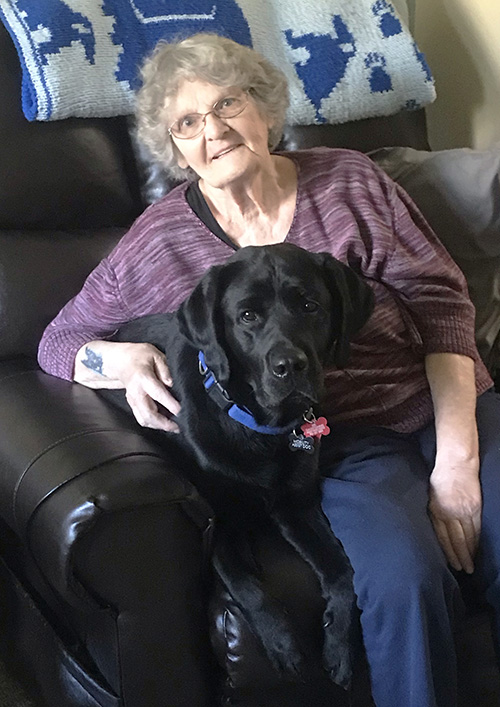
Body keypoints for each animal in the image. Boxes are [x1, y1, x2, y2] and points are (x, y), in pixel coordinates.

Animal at [103, 242, 374, 684]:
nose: (289, 366)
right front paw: (283, 645)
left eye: (310, 305)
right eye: (247, 316)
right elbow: (249, 585)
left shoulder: (298, 506)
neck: (260, 428)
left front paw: (338, 645)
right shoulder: (221, 524)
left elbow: (343, 572)